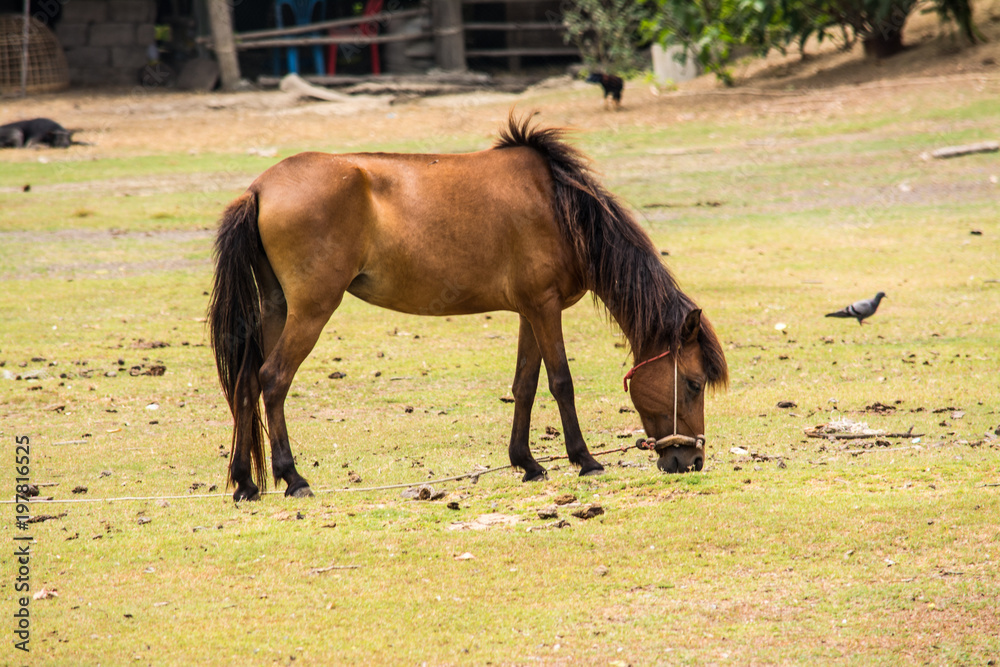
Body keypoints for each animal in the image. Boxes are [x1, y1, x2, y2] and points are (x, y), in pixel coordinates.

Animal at [209, 114, 728, 501]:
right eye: (693, 383)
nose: (691, 461)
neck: (558, 207)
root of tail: (259, 189)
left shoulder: (531, 311)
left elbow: (525, 385)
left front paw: (527, 463)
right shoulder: (545, 309)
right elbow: (561, 382)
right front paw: (585, 460)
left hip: (276, 308)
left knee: (246, 381)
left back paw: (246, 483)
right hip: (311, 310)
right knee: (273, 379)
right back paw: (292, 477)